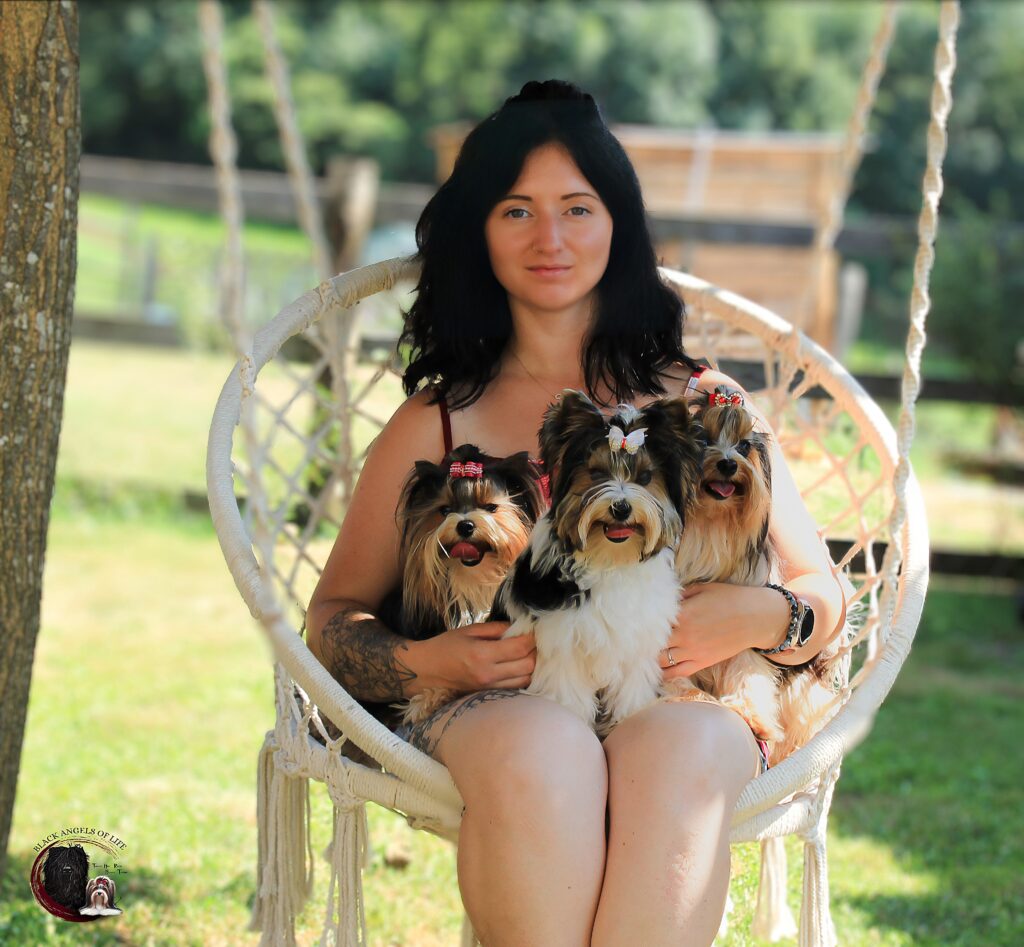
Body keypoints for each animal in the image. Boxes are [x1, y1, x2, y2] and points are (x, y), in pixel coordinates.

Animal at [495, 390, 703, 736]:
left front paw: (628, 716)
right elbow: (568, 691)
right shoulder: (562, 641)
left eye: (645, 477)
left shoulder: (637, 640)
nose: (621, 507)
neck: (610, 559)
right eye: (596, 474)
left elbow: (632, 684)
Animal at [666, 386, 841, 762]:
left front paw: (752, 716)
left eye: (744, 445)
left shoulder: (743, 623)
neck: (709, 525)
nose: (729, 463)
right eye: (702, 438)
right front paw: (683, 691)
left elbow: (746, 666)